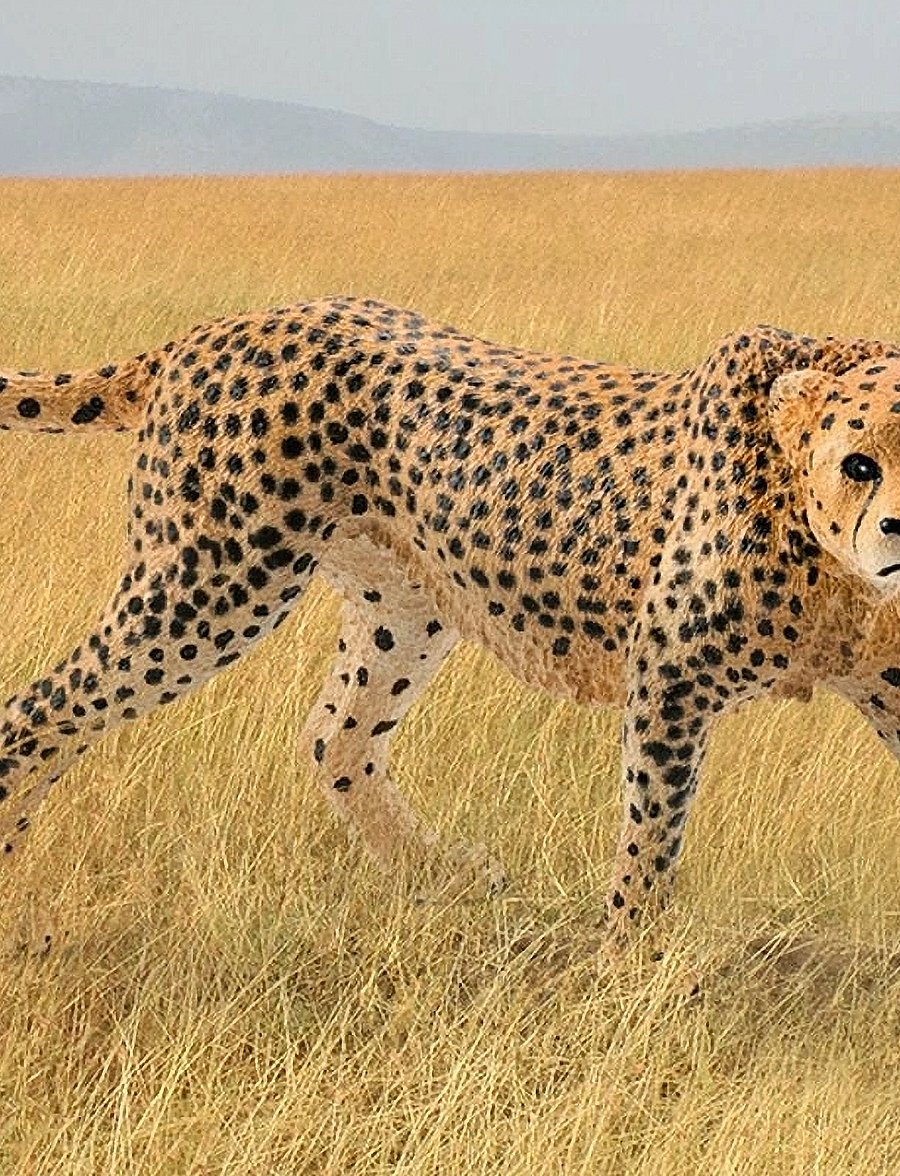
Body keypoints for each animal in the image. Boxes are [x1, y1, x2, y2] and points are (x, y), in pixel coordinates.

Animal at [2, 294, 900, 953]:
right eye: (860, 463)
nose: (898, 530)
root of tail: (218, 327)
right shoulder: (671, 678)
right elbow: (652, 836)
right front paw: (629, 968)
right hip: (207, 582)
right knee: (37, 713)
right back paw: (17, 922)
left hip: (402, 604)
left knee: (337, 738)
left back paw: (443, 878)